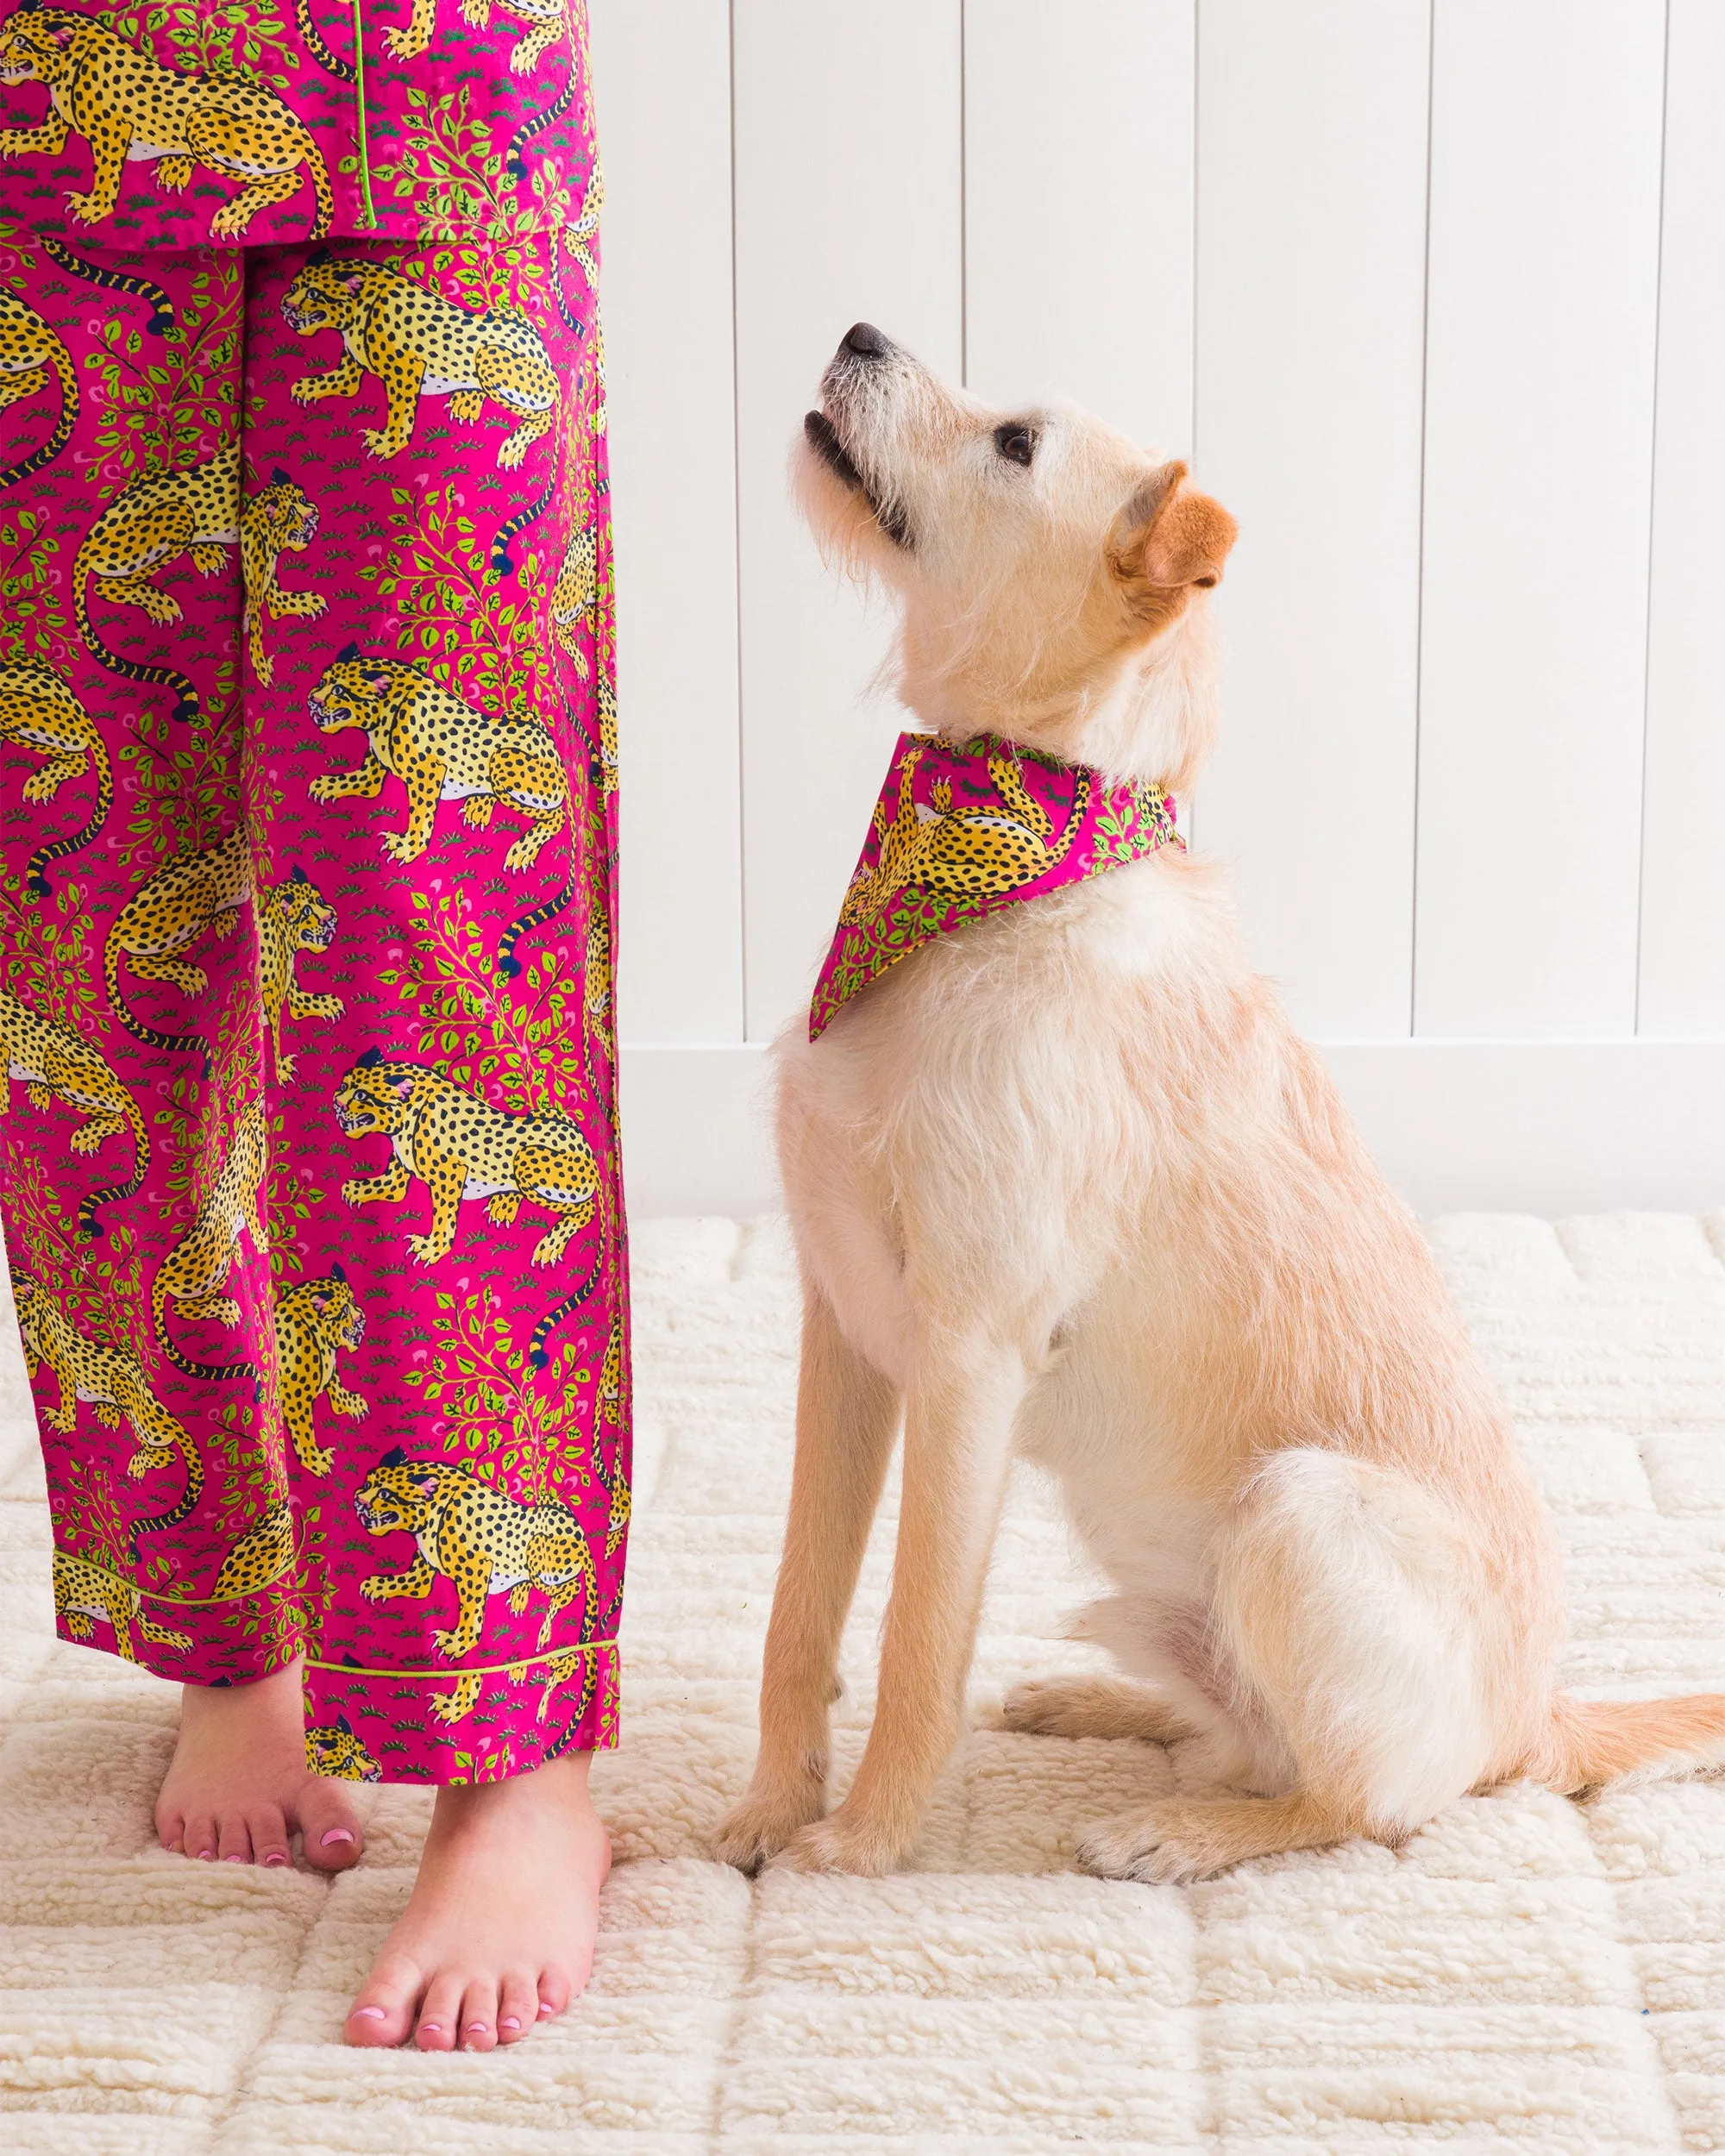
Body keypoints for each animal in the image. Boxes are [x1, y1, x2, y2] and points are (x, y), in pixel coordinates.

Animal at [712, 323, 1725, 1889]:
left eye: (1015, 443)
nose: (862, 333)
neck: (1013, 842)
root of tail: (1535, 1720)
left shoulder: (967, 1356)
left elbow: (915, 1639)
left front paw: (864, 1847)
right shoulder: (848, 1334)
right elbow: (799, 1607)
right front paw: (773, 1808)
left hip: (1298, 1514)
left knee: (1360, 1803)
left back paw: (1174, 1830)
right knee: (1249, 1737)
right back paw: (1101, 1707)